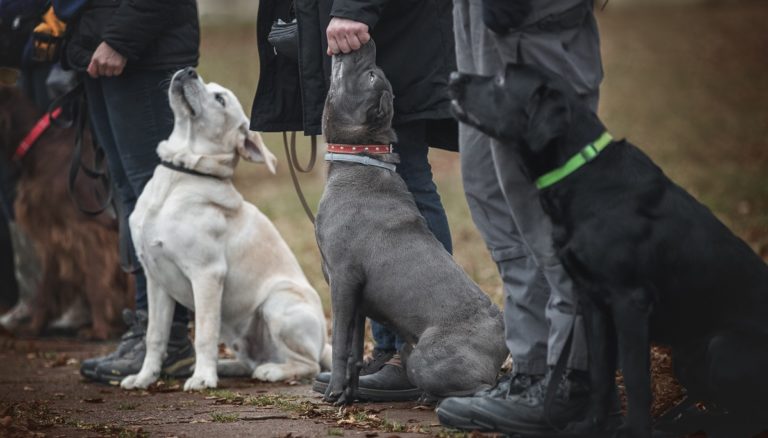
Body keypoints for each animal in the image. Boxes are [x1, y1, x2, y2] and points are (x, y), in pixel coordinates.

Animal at [0, 85, 130, 338]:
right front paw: (33, 327)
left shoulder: (88, 231)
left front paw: (99, 330)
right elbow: (46, 288)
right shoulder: (54, 234)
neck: (39, 146)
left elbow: (95, 282)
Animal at [120, 67, 330, 390]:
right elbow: (155, 336)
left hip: (277, 303)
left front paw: (203, 378)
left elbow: (204, 335)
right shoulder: (155, 278)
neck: (179, 176)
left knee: (309, 365)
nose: (188, 71)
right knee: (252, 360)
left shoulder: (207, 274)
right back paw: (229, 366)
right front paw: (145, 378)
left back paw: (271, 371)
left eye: (220, 99)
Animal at [316, 41, 508, 404]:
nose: (366, 42)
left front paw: (333, 393)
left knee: (481, 389)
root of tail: (503, 345)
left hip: (422, 356)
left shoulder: (343, 281)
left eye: (370, 74)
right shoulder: (358, 299)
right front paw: (350, 394)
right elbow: (352, 351)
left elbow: (339, 345)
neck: (360, 161)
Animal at [450, 65, 768, 438]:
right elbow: (601, 375)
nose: (453, 77)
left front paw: (634, 431)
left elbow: (634, 378)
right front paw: (589, 425)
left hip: (723, 348)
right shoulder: (593, 302)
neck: (581, 171)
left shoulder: (630, 301)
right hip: (687, 357)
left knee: (751, 415)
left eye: (501, 79)